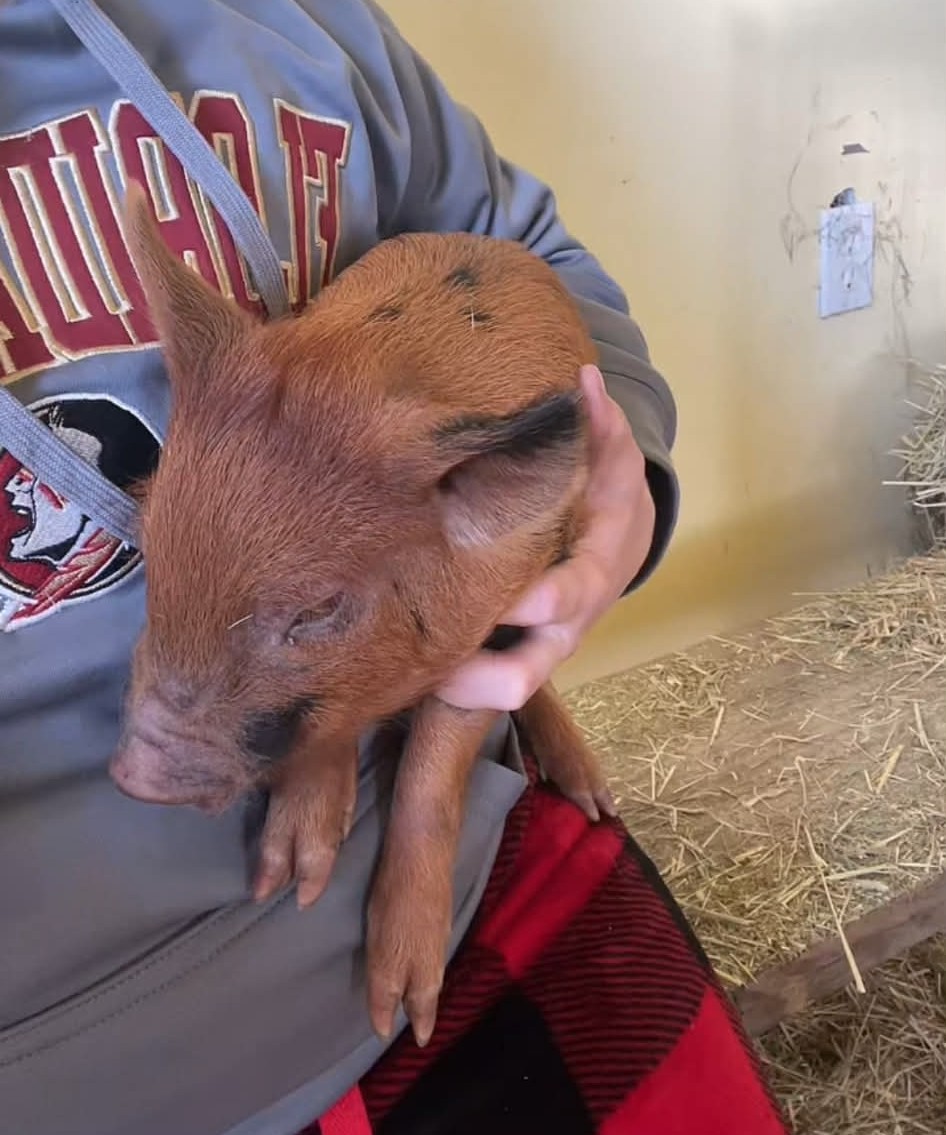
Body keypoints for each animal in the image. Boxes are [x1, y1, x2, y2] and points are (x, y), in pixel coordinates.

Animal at [110, 179, 615, 1047]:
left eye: (318, 607)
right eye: (150, 537)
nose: (132, 774)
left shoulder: (500, 618)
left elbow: (434, 770)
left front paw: (401, 1012)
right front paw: (292, 879)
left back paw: (593, 800)